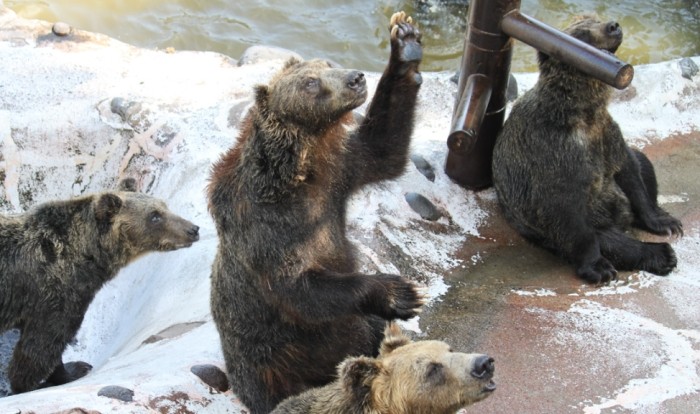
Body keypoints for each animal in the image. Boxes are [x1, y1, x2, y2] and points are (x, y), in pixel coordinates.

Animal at [0, 178, 199, 394]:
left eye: (165, 206)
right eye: (154, 216)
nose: (193, 229)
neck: (87, 256)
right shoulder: (55, 293)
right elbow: (42, 346)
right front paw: (67, 372)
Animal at [207, 11, 424, 414]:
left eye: (328, 63)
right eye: (310, 82)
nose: (356, 77)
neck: (303, 169)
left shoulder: (340, 173)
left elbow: (385, 149)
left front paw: (405, 42)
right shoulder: (267, 229)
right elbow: (301, 291)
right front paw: (399, 291)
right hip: (267, 368)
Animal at [492, 15, 683, 283]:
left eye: (595, 19)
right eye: (583, 33)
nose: (613, 26)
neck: (584, 113)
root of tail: (620, 220)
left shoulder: (606, 135)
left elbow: (631, 173)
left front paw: (664, 222)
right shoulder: (556, 152)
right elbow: (567, 212)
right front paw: (598, 268)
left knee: (643, 164)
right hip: (569, 224)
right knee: (608, 239)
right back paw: (661, 255)